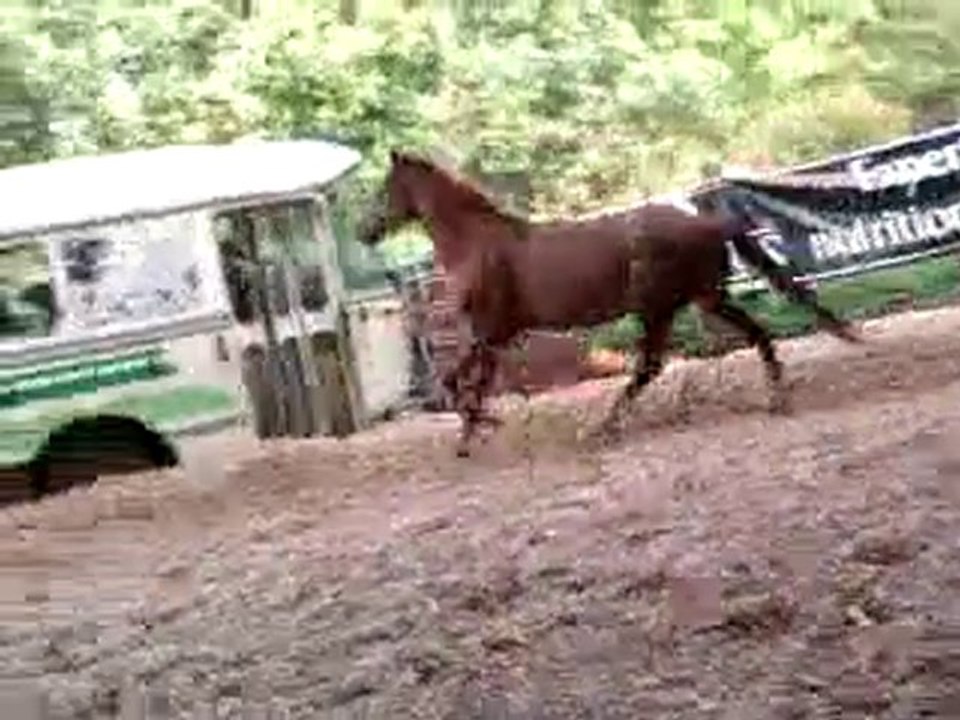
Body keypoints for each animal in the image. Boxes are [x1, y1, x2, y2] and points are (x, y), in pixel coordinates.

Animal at [357, 149, 861, 457]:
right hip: (701, 299)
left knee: (650, 366)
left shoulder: (489, 331)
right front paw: (474, 432)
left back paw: (605, 427)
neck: (479, 246)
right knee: (754, 335)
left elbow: (456, 381)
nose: (365, 231)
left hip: (661, 307)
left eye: (384, 189)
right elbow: (470, 384)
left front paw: (479, 428)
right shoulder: (493, 336)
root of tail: (708, 222)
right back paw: (776, 399)